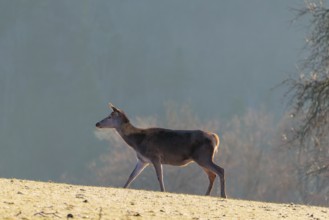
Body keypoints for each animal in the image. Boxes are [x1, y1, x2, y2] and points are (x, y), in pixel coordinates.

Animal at [95, 103, 226, 198]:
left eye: (110, 116)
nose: (97, 123)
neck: (137, 142)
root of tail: (214, 137)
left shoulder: (155, 156)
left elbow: (159, 176)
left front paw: (163, 191)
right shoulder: (143, 160)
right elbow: (132, 175)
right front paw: (123, 188)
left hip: (203, 157)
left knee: (220, 170)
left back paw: (223, 195)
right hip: (201, 158)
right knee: (212, 175)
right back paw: (207, 194)